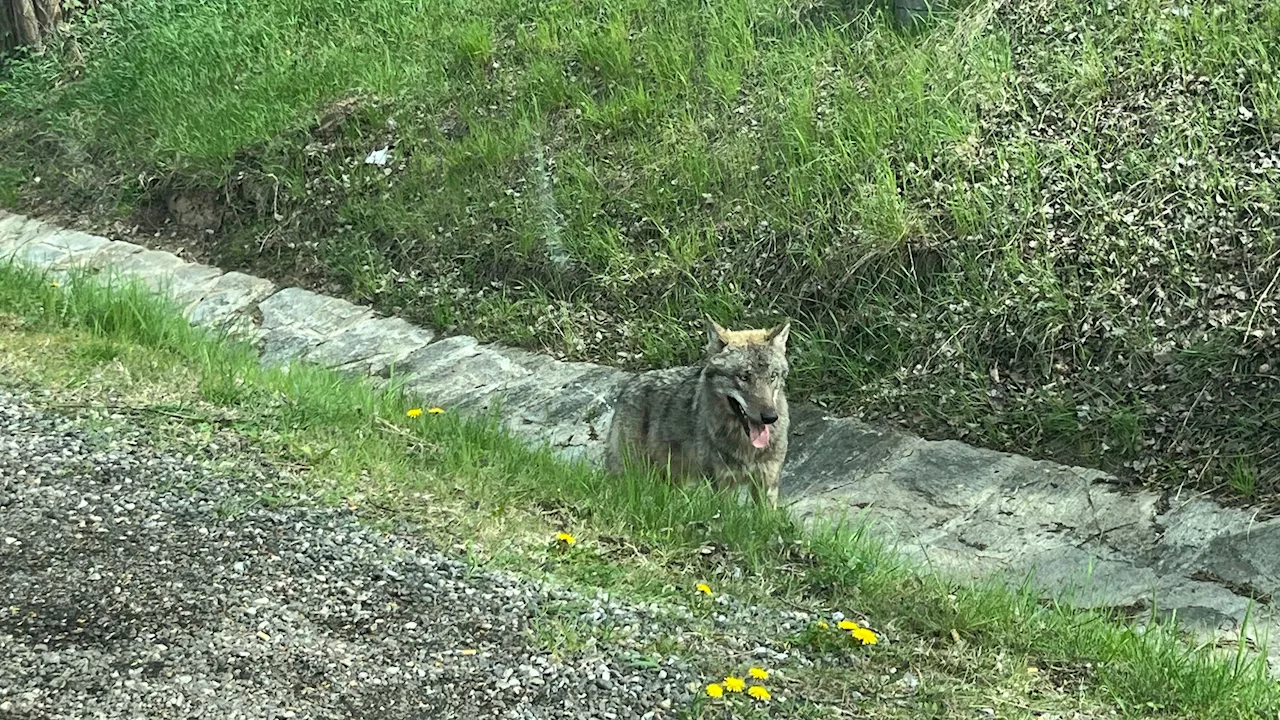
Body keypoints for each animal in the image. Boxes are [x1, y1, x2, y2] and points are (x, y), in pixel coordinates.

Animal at [601, 316, 788, 507]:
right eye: (744, 377)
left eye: (772, 376)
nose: (770, 417)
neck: (746, 447)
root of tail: (630, 384)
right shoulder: (722, 486)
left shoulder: (767, 484)